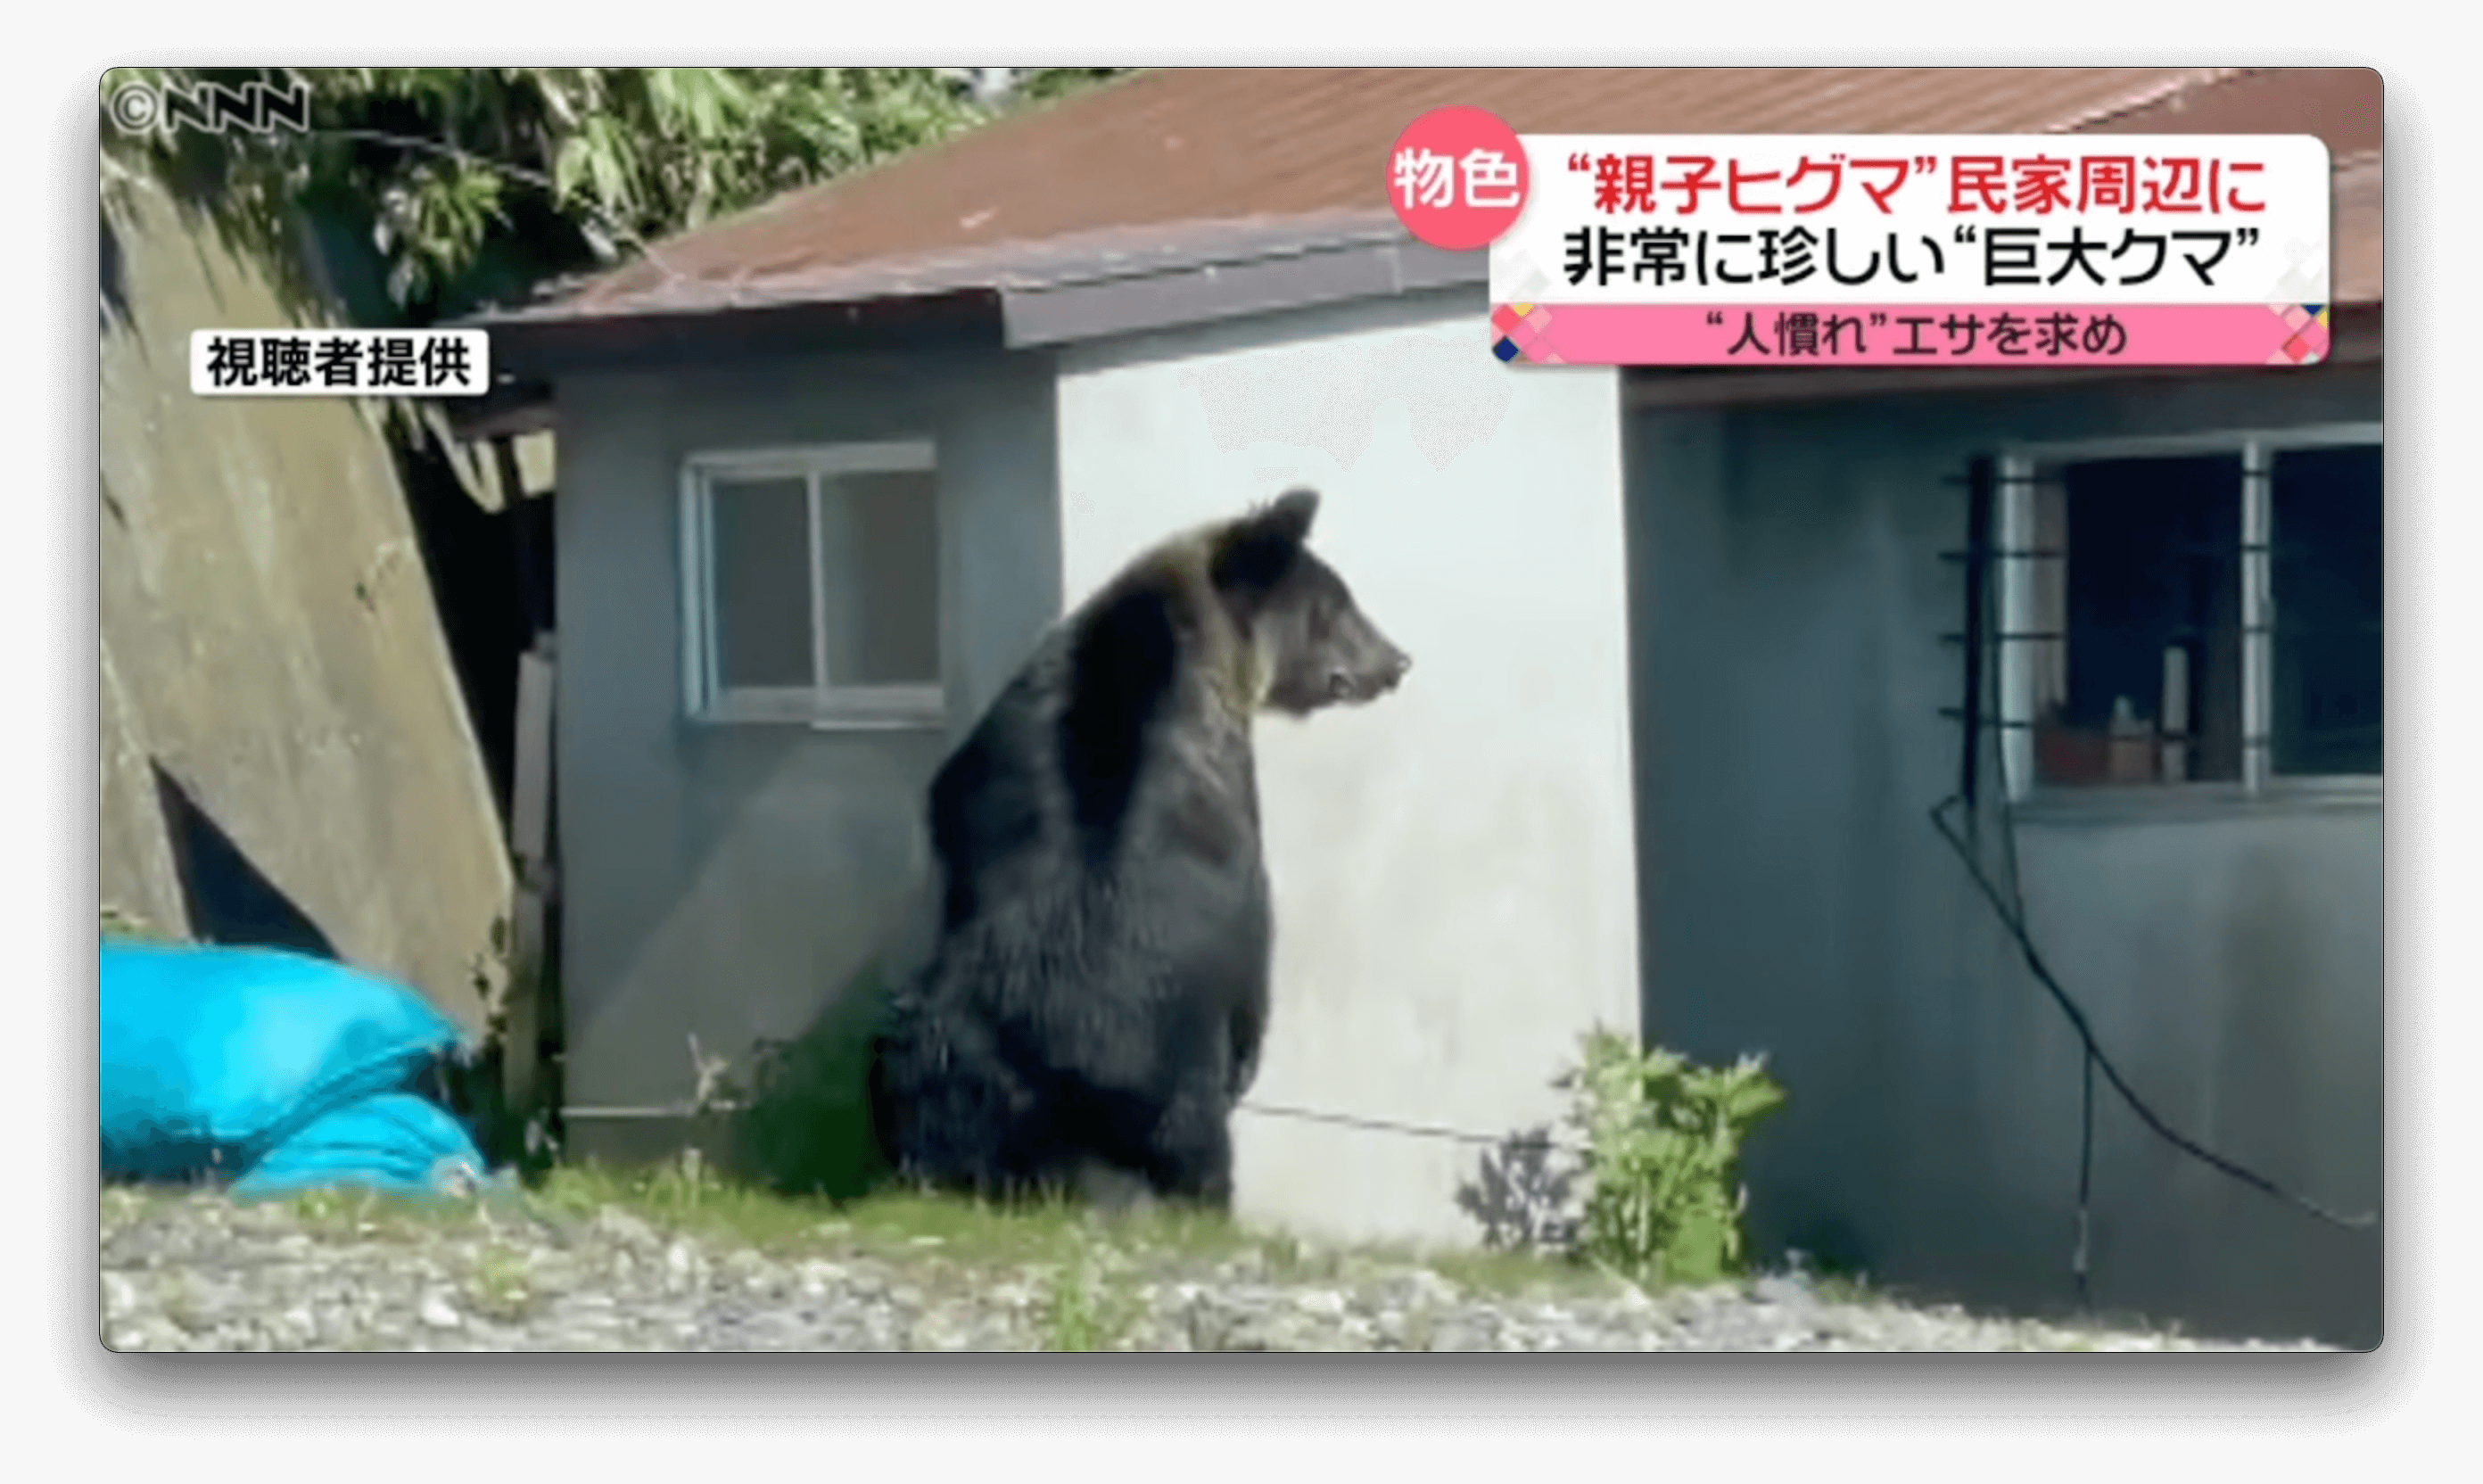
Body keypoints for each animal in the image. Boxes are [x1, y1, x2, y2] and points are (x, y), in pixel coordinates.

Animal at [866, 487, 1410, 1212]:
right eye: (1337, 603)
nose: (1397, 661)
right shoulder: (1234, 848)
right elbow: (1254, 972)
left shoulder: (983, 774)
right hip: (1158, 1086)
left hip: (947, 1052)